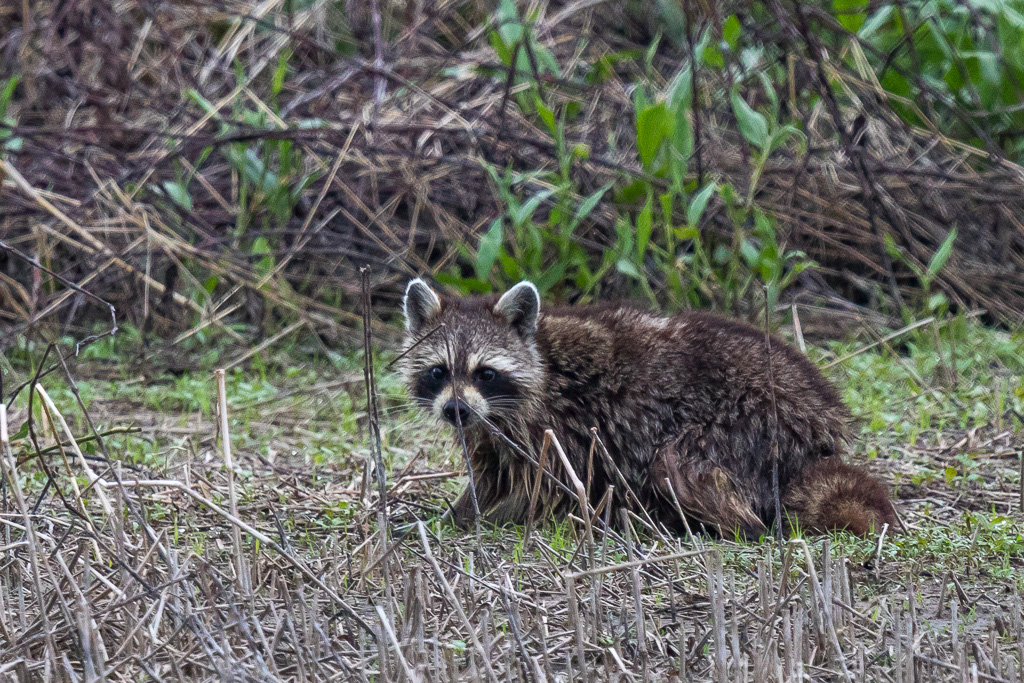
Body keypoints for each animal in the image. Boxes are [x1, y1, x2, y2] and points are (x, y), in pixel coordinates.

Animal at [399, 278, 897, 540]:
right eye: (439, 371)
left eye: (485, 372)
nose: (455, 411)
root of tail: (820, 424)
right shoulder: (490, 429)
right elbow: (490, 476)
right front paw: (459, 513)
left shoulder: (556, 427)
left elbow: (540, 486)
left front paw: (488, 521)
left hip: (744, 425)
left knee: (681, 468)